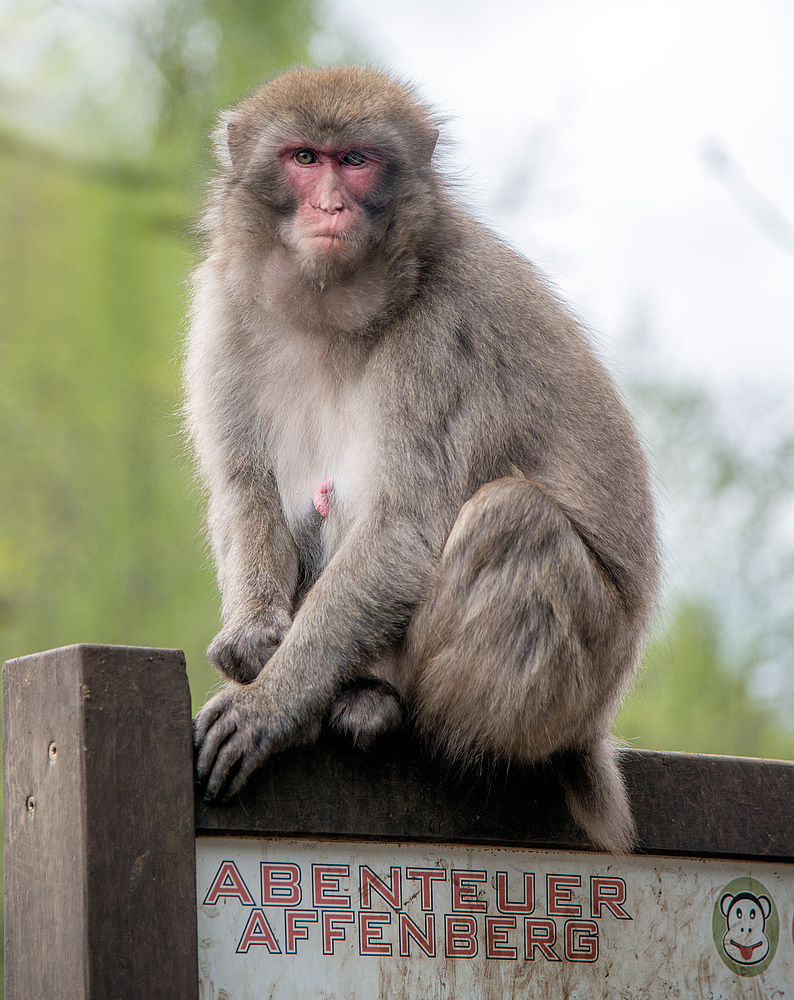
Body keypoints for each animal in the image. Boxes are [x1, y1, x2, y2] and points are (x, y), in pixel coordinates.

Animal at [186, 66, 656, 856]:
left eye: (357, 161)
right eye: (304, 158)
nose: (332, 204)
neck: (331, 312)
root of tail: (595, 727)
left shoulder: (446, 332)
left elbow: (401, 531)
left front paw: (272, 704)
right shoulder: (224, 311)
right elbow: (242, 488)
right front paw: (254, 639)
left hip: (573, 683)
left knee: (513, 519)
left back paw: (383, 709)